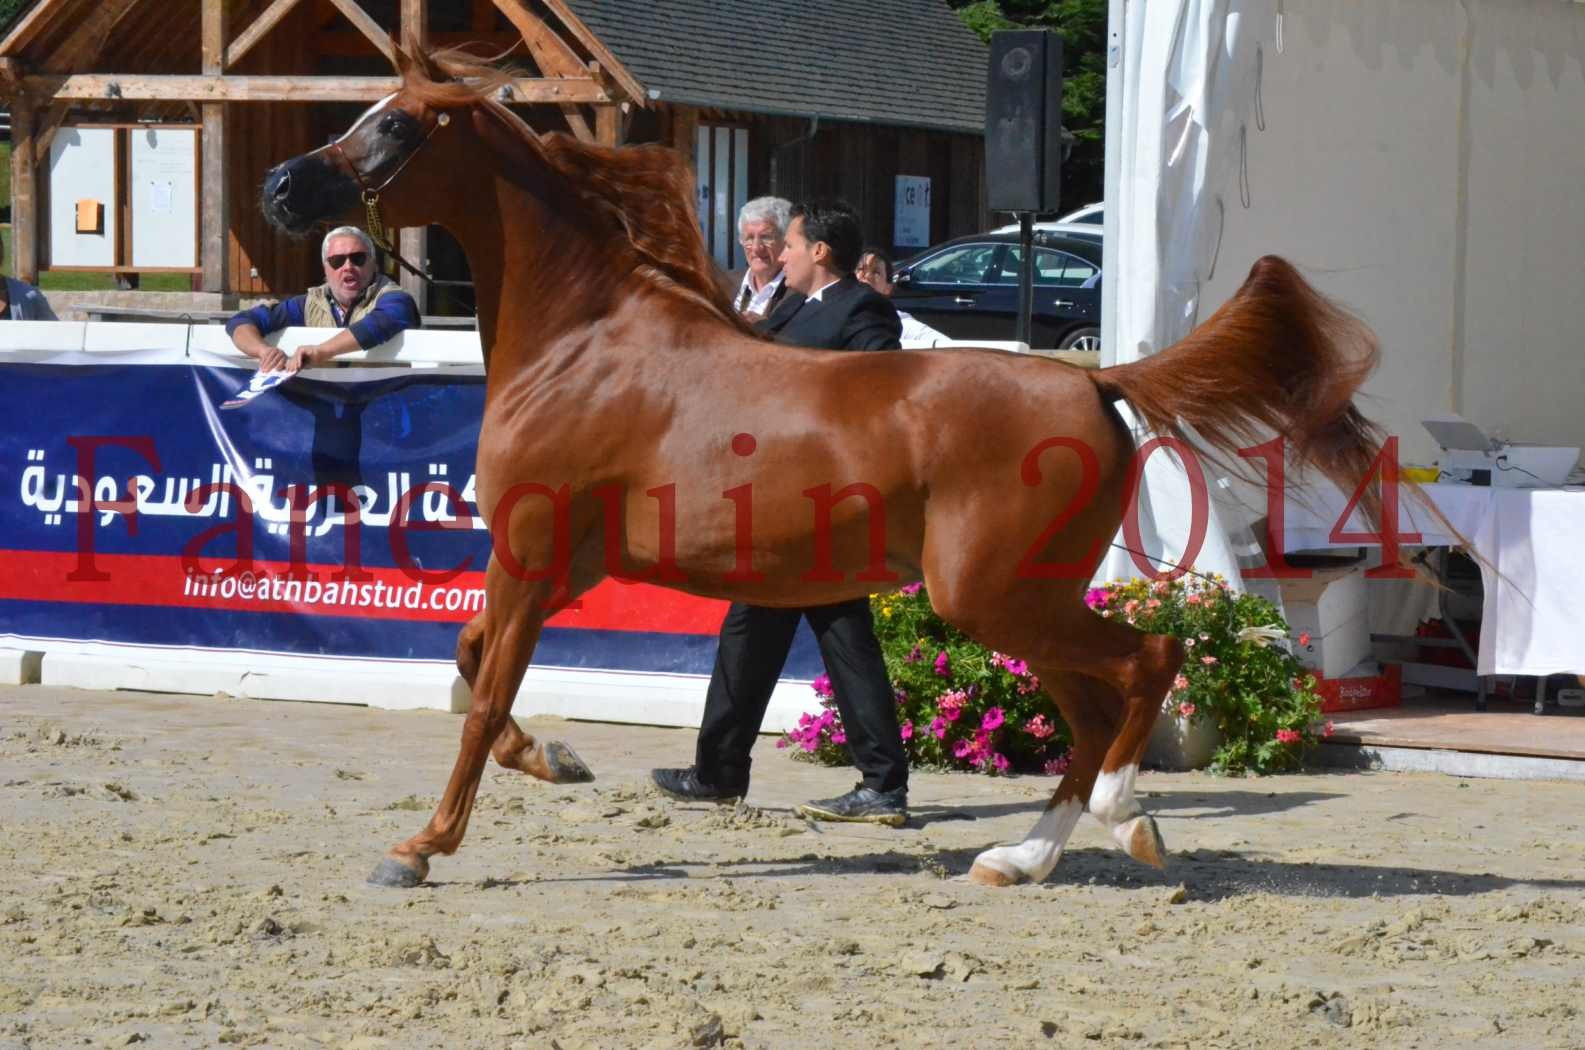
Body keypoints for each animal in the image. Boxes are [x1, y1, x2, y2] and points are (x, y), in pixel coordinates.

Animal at [263, 47, 1388, 888]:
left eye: (398, 126)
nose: (281, 187)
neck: (581, 344)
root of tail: (1097, 380)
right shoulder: (559, 566)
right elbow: (468, 668)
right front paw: (558, 760)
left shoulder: (531, 558)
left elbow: (484, 693)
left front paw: (420, 848)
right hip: (1022, 598)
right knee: (1095, 705)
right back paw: (1018, 858)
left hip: (991, 596)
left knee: (1145, 664)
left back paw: (1120, 818)